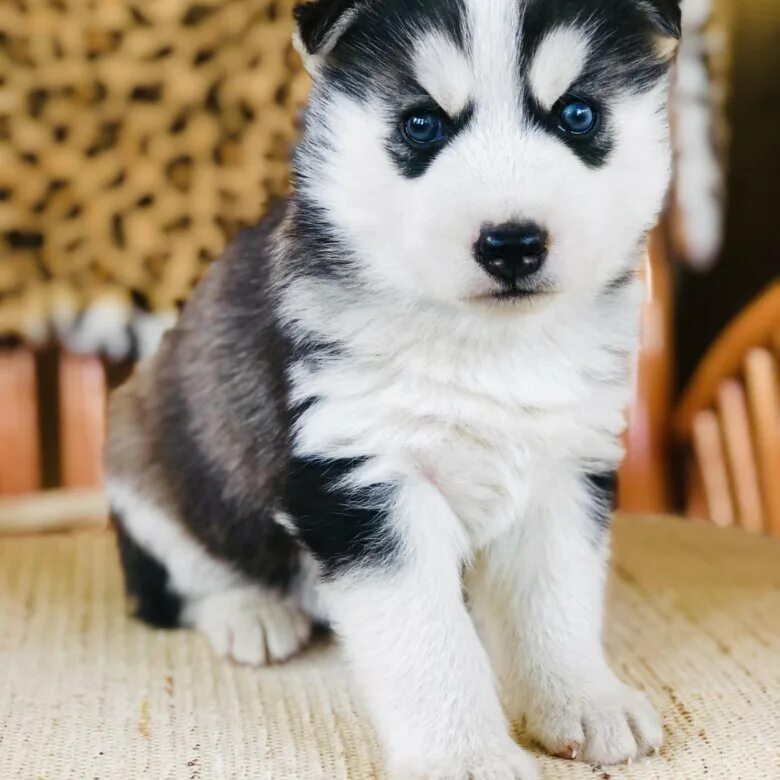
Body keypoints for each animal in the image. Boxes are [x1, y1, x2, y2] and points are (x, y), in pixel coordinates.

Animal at [106, 1, 680, 772]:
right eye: (421, 124)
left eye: (578, 114)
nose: (512, 244)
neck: (488, 346)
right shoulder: (359, 476)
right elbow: (427, 637)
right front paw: (464, 755)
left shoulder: (568, 462)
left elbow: (557, 598)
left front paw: (584, 700)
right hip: (143, 441)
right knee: (183, 561)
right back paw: (249, 612)